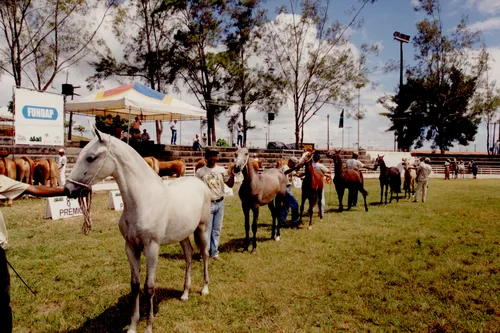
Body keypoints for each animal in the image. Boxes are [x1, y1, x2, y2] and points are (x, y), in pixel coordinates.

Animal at [64, 129, 211, 332]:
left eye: (91, 157)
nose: (68, 189)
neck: (143, 200)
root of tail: (199, 182)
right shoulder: (131, 247)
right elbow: (135, 285)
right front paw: (133, 326)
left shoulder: (151, 248)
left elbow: (149, 287)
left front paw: (148, 327)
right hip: (182, 235)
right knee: (188, 256)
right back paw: (185, 294)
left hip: (203, 229)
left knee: (204, 255)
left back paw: (204, 289)